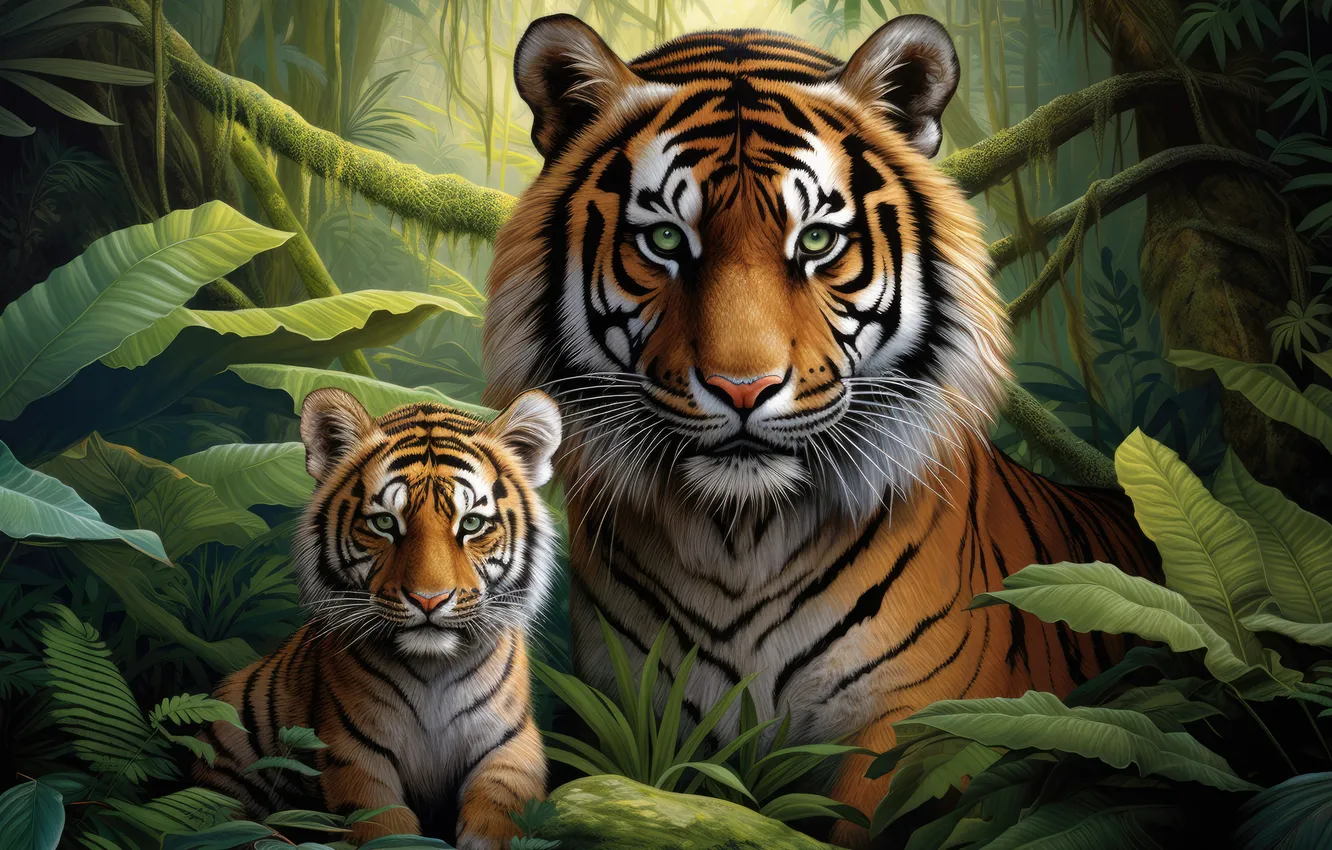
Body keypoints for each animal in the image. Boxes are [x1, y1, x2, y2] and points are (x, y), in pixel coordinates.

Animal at [196, 388, 561, 849]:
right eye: (386, 522)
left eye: (473, 523)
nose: (428, 600)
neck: (433, 670)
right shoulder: (353, 754)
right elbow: (383, 829)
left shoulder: (510, 745)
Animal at [480, 12, 1161, 846]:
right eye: (666, 241)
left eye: (815, 242)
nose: (743, 388)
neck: (740, 541)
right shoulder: (630, 713)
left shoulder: (920, 728)